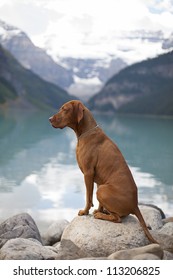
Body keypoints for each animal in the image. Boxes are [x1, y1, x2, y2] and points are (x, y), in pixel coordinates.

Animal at [49, 100, 157, 243]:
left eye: (65, 109)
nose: (49, 119)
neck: (85, 132)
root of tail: (135, 205)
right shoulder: (97, 179)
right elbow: (96, 201)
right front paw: (98, 209)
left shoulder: (88, 174)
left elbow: (88, 197)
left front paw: (85, 212)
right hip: (102, 187)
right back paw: (103, 212)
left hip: (103, 190)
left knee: (117, 218)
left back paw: (101, 215)